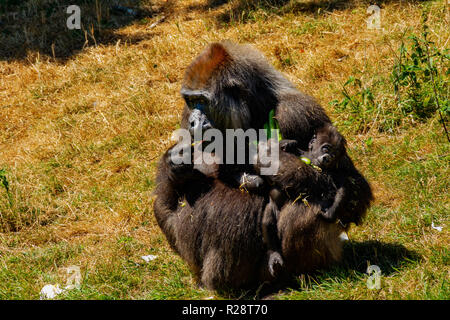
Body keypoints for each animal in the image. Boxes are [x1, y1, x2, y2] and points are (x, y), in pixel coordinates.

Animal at [153, 41, 370, 292]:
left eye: (203, 101)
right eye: (190, 101)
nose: (193, 121)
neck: (254, 106)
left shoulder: (298, 111)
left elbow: (354, 189)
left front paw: (269, 158)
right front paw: (174, 163)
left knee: (310, 204)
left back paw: (302, 277)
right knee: (161, 202)